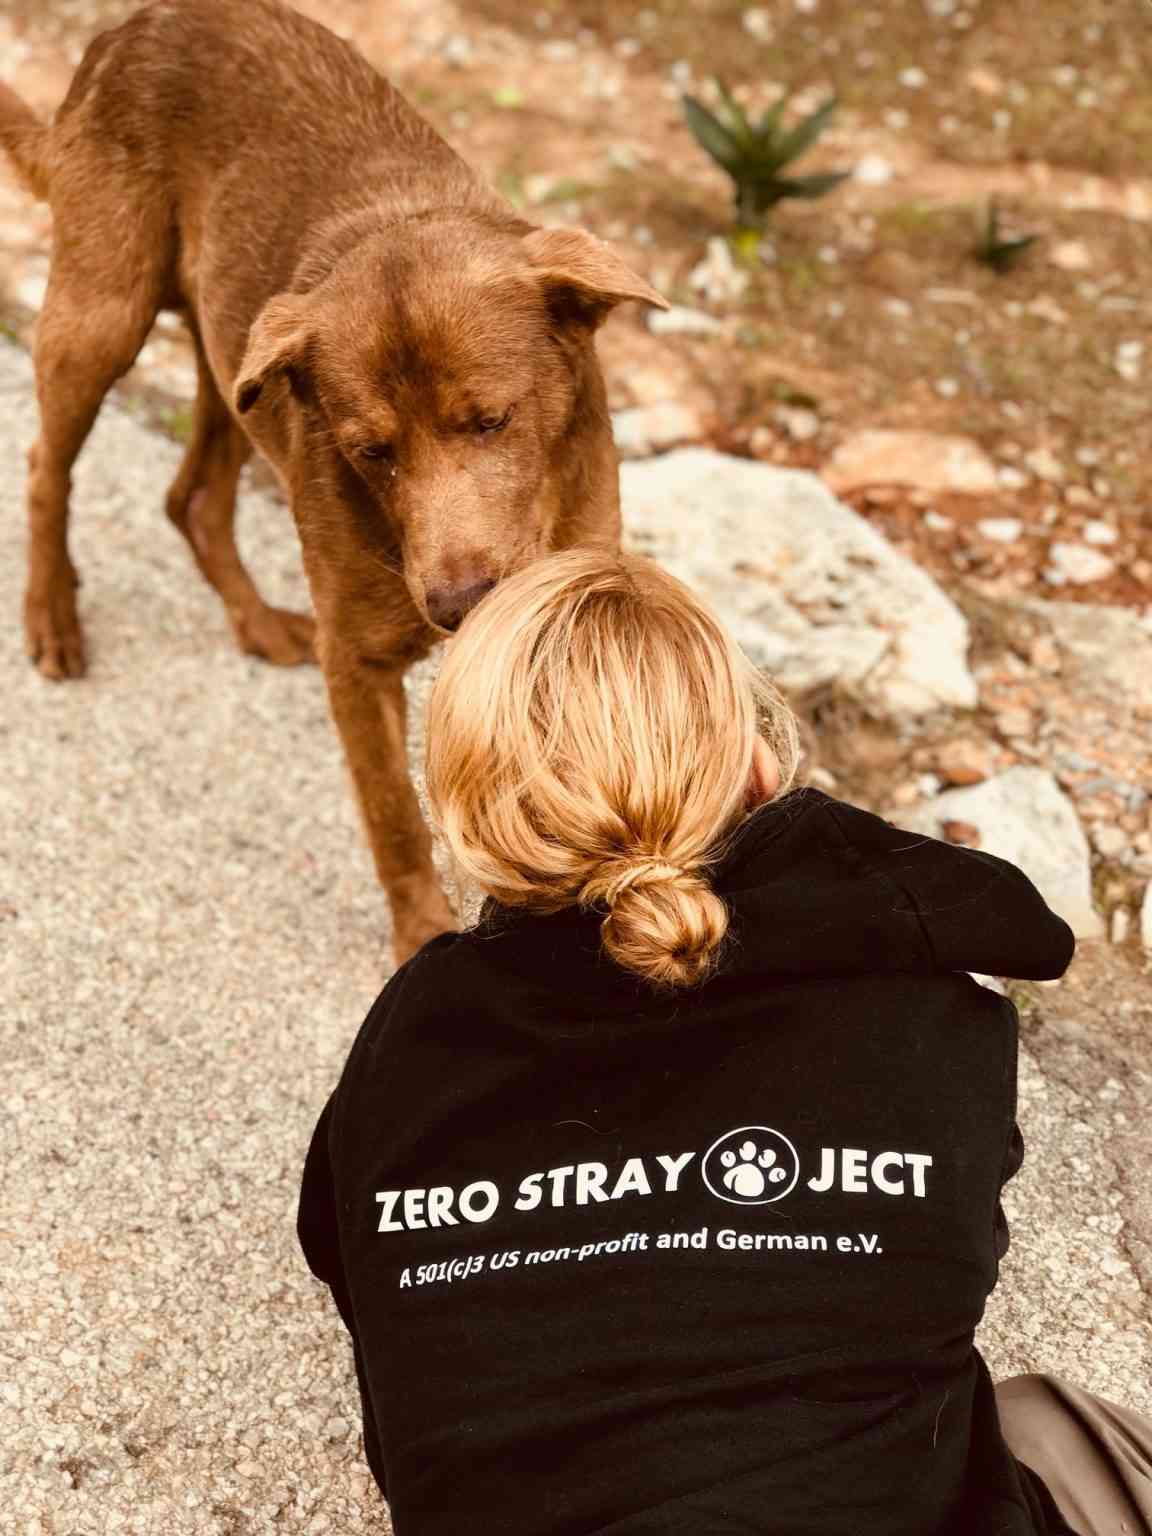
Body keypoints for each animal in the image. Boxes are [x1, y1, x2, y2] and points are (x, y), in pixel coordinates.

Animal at [0, 0, 667, 962]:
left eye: (493, 421)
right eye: (371, 452)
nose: (457, 607)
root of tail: (136, 23)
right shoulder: (357, 661)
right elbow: (393, 815)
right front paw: (423, 936)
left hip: (235, 364)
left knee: (192, 497)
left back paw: (253, 621)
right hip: (104, 314)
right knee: (46, 465)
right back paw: (53, 613)